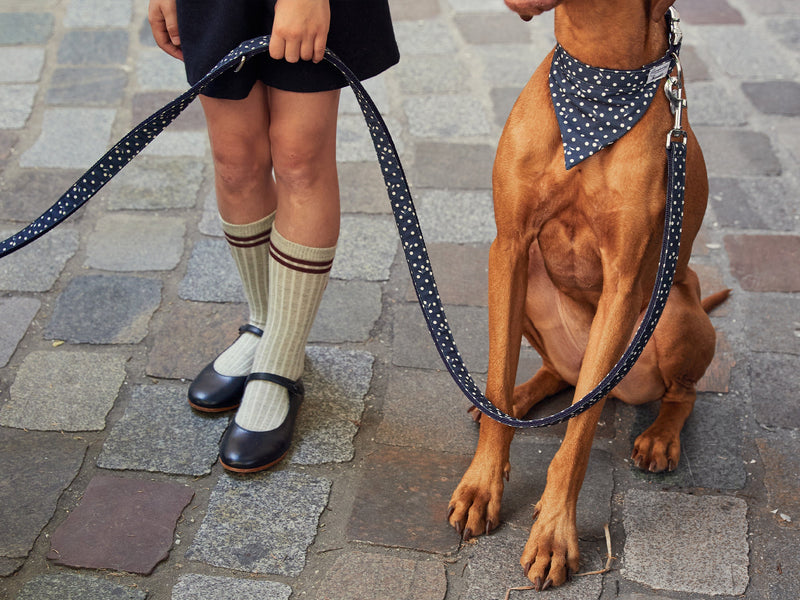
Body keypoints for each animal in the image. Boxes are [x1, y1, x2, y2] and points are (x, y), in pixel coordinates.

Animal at [446, 0, 728, 592]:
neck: (598, 79)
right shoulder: (508, 247)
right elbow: (498, 373)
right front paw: (483, 485)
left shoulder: (623, 284)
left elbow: (578, 434)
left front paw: (554, 534)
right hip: (530, 277)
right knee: (555, 375)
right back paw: (520, 399)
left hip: (674, 312)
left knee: (678, 394)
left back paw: (660, 438)